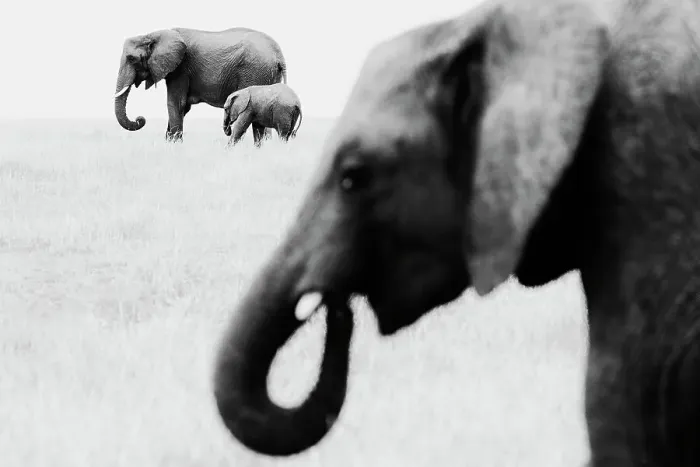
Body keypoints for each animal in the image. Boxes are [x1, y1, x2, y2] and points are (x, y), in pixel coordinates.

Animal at [113, 27, 287, 142]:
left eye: (131, 59)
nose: (139, 119)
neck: (153, 35)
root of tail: (279, 55)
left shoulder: (181, 69)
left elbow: (176, 104)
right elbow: (182, 107)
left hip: (255, 72)